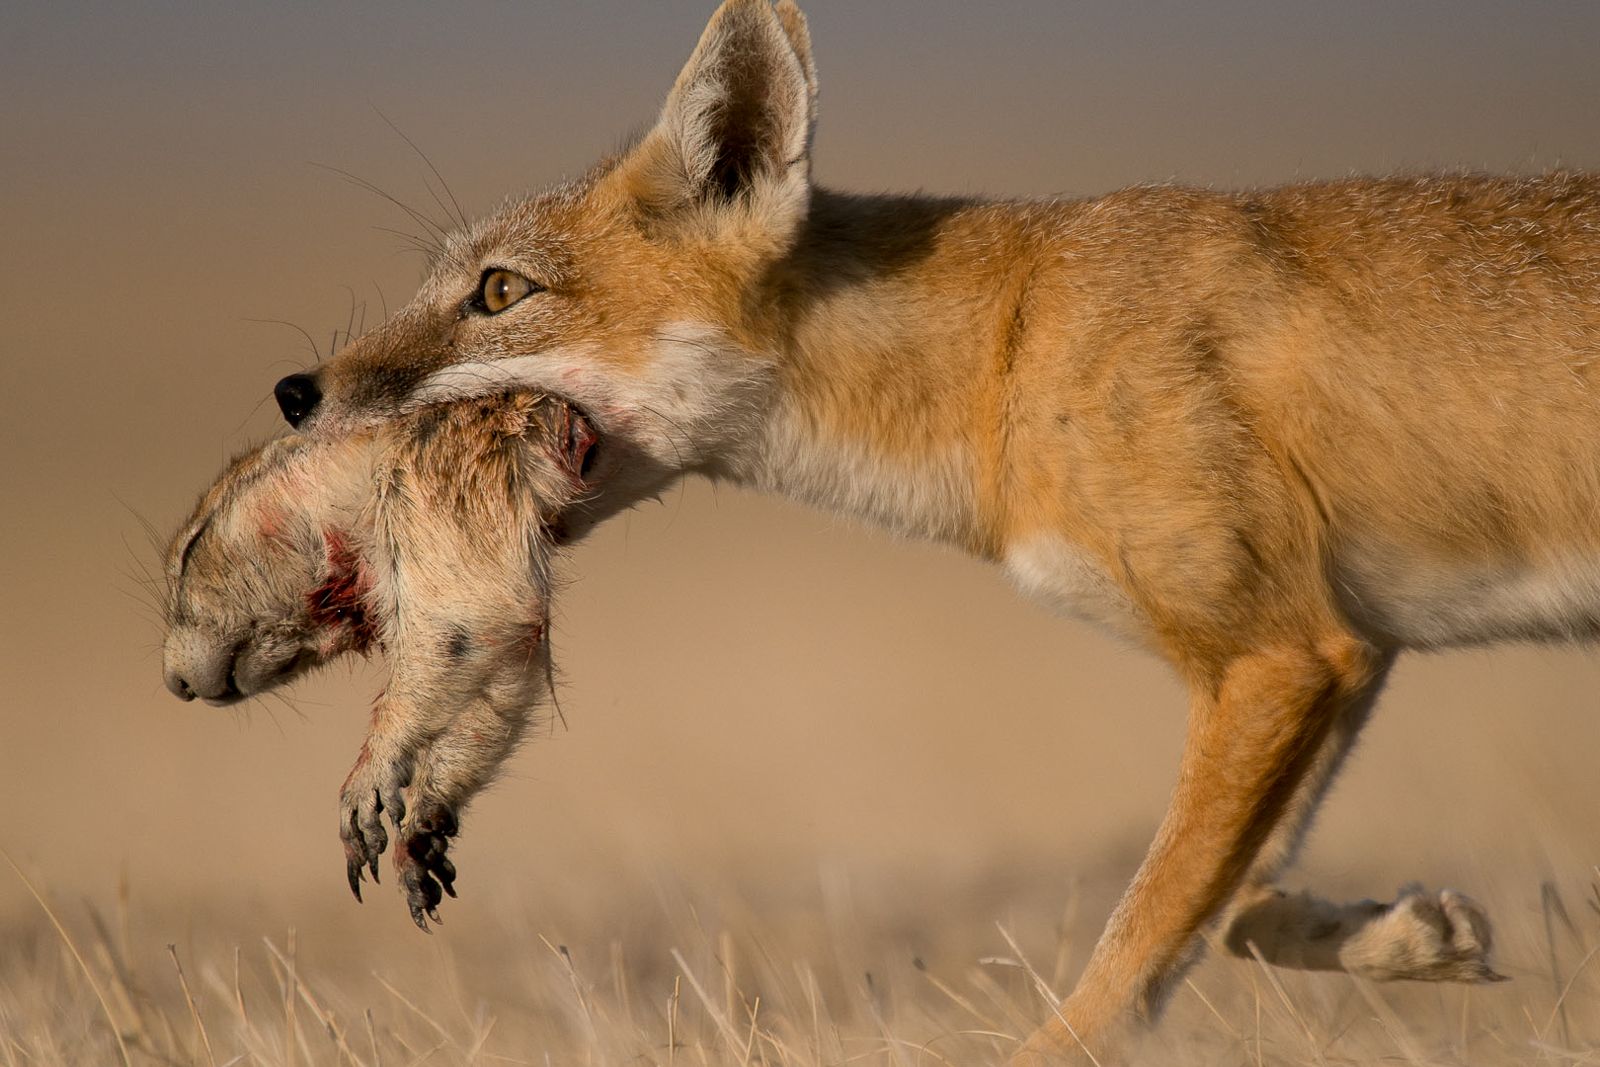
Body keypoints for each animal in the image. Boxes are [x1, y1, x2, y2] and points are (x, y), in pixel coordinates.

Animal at [160, 396, 595, 927]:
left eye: (191, 546)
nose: (175, 683)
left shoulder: (431, 476)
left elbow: (473, 614)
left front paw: (365, 788)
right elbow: (509, 667)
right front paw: (422, 833)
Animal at [262, 0, 1587, 1055]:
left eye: (497, 292)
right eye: (443, 284)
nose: (293, 393)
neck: (1009, 348)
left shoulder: (1279, 651)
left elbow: (1130, 953)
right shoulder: (1334, 648)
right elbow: (1237, 906)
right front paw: (1413, 935)